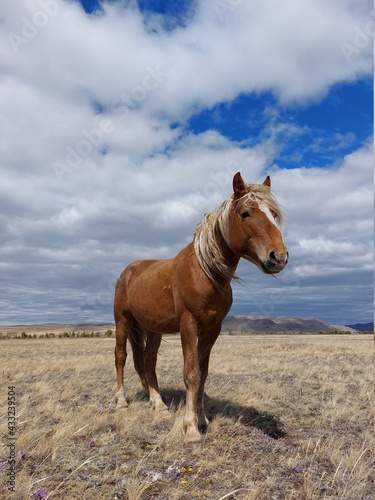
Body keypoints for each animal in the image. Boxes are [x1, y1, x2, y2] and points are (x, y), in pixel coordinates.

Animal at [113, 172, 290, 446]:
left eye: (273, 214)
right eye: (245, 213)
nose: (278, 257)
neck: (206, 273)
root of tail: (127, 271)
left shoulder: (212, 329)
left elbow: (203, 373)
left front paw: (202, 419)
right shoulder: (188, 324)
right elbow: (192, 373)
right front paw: (191, 430)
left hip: (152, 330)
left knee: (148, 362)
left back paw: (158, 404)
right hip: (122, 322)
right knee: (120, 357)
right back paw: (122, 402)